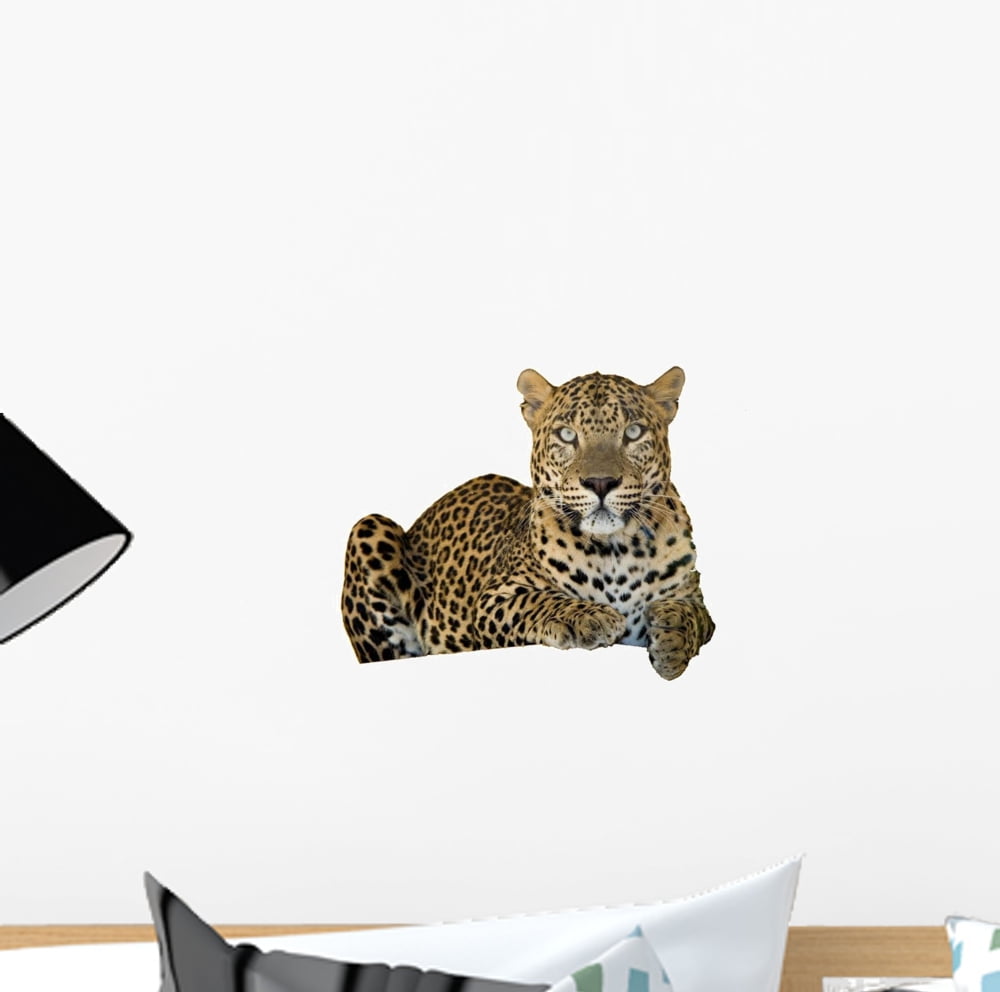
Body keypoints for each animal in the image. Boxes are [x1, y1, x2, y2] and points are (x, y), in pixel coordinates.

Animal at [341, 367, 714, 679]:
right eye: (566, 435)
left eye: (633, 432)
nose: (600, 482)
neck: (617, 550)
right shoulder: (493, 600)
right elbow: (538, 601)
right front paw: (588, 617)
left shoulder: (696, 601)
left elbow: (693, 615)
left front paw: (672, 636)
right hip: (368, 527)